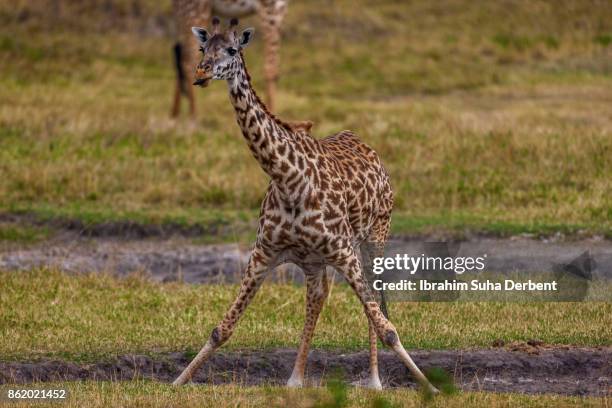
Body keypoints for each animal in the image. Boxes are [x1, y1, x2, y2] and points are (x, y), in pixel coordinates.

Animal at [173, 17, 436, 394]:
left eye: (233, 49)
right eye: (202, 48)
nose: (201, 72)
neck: (289, 179)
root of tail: (369, 148)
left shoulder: (343, 250)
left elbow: (387, 328)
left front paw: (430, 386)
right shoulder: (264, 253)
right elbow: (221, 329)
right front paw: (178, 381)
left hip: (374, 237)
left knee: (374, 299)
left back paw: (373, 380)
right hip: (314, 262)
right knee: (319, 296)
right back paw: (296, 378)